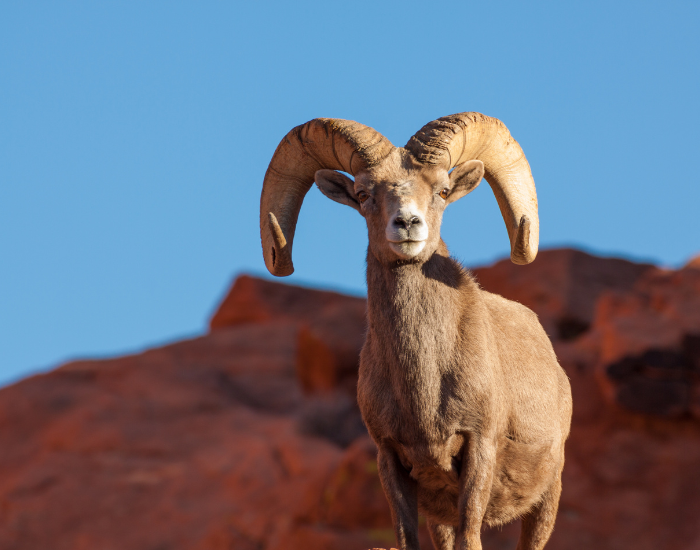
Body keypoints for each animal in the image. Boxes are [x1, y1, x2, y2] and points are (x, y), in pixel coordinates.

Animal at [258, 113, 572, 550]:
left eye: (442, 190)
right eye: (363, 194)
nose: (407, 224)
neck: (424, 384)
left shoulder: (478, 449)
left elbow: (471, 534)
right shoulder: (392, 460)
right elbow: (407, 536)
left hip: (547, 499)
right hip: (442, 515)